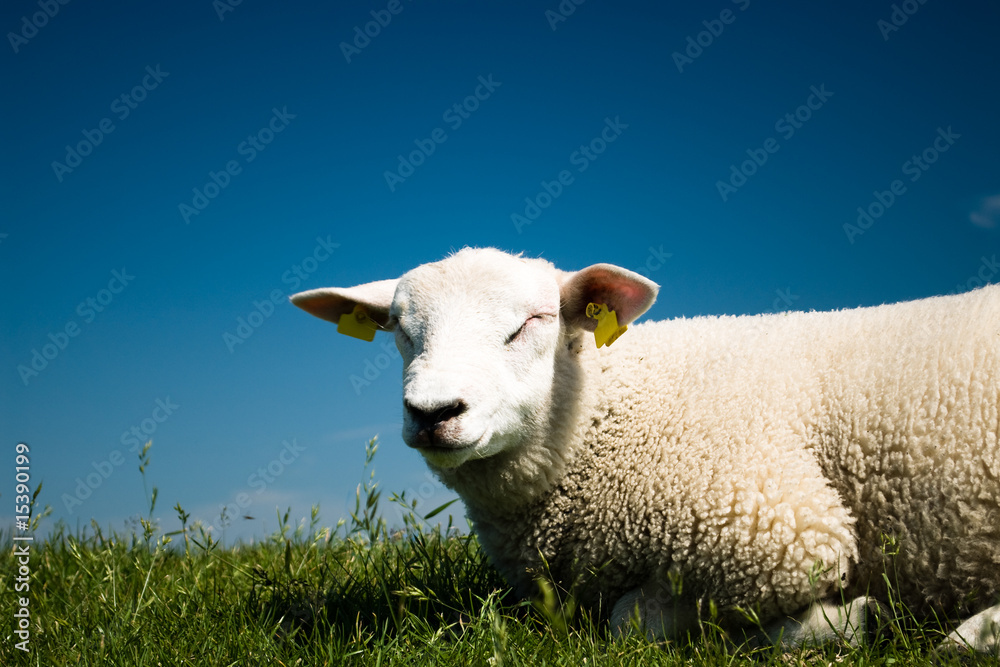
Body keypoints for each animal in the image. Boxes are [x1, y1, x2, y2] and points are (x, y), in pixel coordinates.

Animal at [291, 247, 1000, 653]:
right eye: (398, 330)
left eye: (533, 321)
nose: (433, 413)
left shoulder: (785, 530)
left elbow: (629, 621)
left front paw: (850, 620)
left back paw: (970, 634)